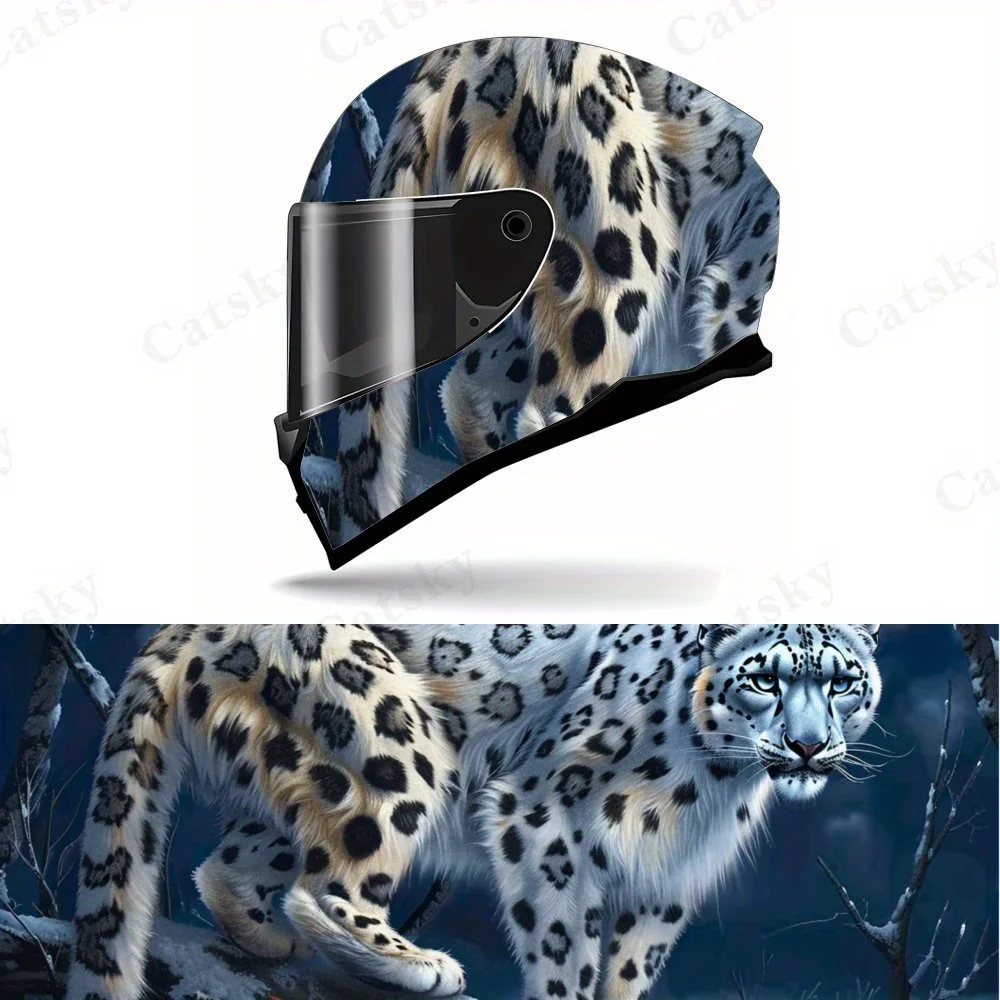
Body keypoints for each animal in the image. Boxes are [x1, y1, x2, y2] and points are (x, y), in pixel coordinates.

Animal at [66, 623, 878, 1000]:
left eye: (844, 683)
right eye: (766, 679)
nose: (808, 747)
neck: (711, 786)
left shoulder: (669, 878)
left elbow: (632, 959)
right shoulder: (546, 810)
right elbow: (565, 939)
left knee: (228, 864)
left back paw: (267, 941)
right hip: (392, 741)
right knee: (328, 886)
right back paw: (417, 964)